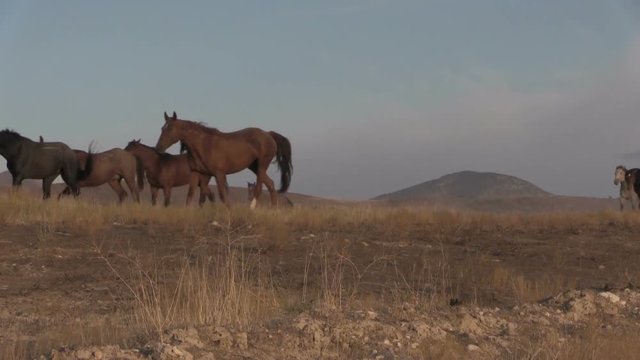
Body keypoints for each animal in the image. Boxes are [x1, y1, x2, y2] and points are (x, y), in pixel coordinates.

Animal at [158, 112, 292, 208]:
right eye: (162, 128)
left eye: (170, 129)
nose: (158, 147)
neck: (204, 145)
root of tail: (269, 134)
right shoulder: (197, 173)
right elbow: (191, 195)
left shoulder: (219, 174)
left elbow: (222, 195)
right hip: (254, 166)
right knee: (270, 184)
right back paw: (273, 210)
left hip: (261, 165)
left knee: (259, 187)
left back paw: (252, 208)